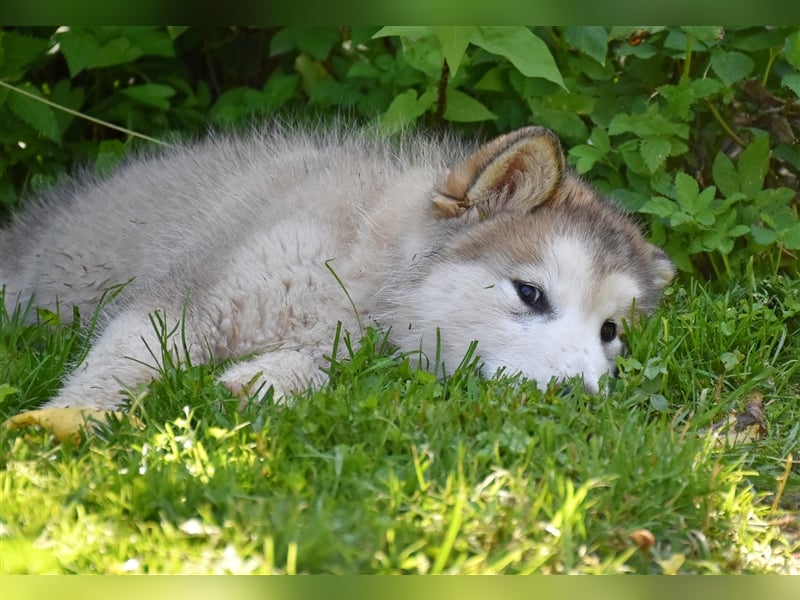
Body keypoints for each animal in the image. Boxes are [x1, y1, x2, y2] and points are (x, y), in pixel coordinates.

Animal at [0, 125, 676, 410]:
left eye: (610, 332)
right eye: (531, 294)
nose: (587, 396)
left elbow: (312, 369)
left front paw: (261, 381)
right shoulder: (188, 300)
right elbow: (121, 362)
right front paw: (63, 420)